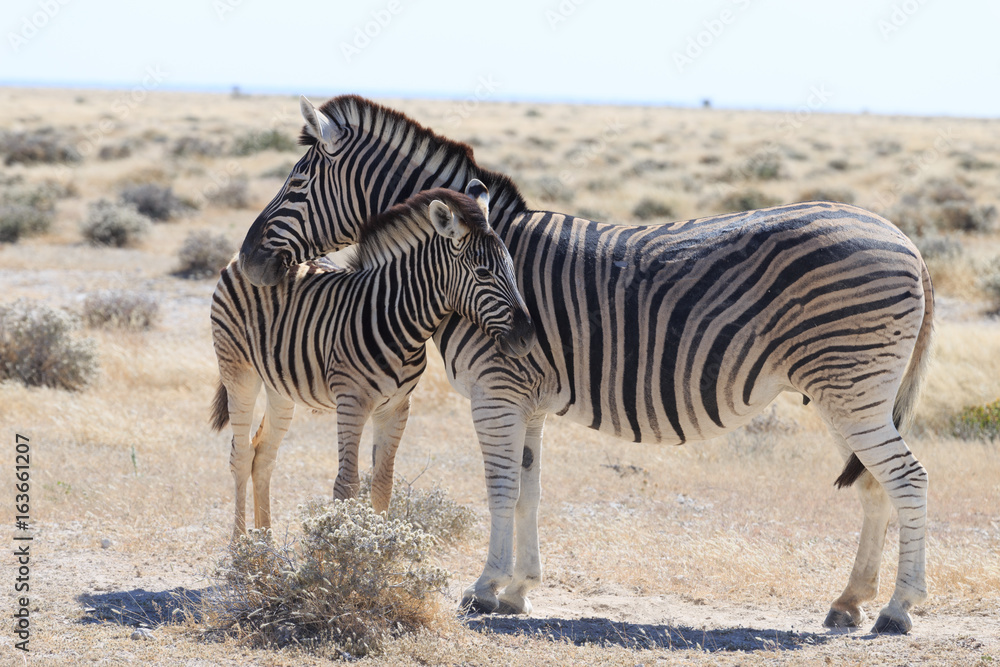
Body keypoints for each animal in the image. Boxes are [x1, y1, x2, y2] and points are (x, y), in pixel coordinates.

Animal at [210, 182, 536, 537]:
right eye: (483, 273)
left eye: (512, 269)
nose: (527, 337)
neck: (398, 321)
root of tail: (235, 261)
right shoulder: (351, 403)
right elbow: (347, 484)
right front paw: (342, 543)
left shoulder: (396, 407)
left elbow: (382, 483)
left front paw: (381, 542)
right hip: (239, 372)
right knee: (240, 455)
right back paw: (241, 544)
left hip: (280, 385)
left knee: (263, 454)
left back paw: (264, 543)